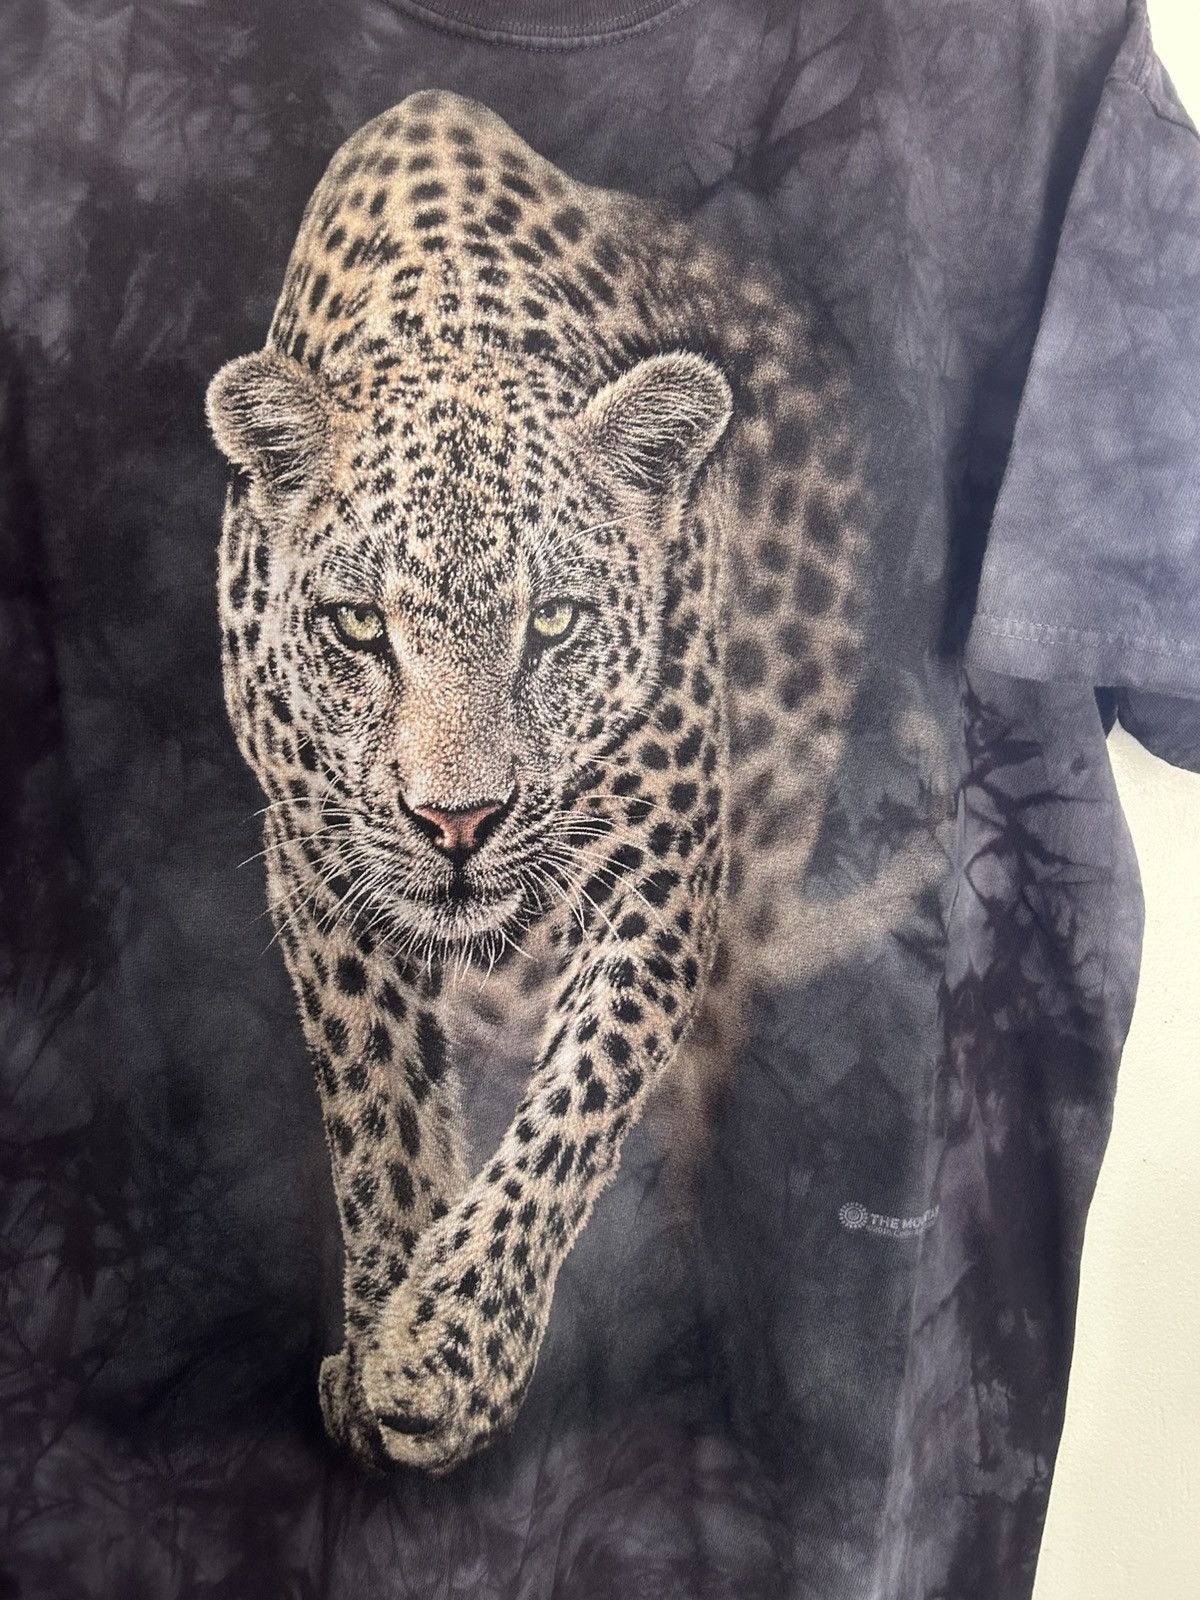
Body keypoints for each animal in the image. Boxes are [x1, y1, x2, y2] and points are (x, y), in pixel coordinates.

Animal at [206, 88, 917, 1477]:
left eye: (556, 623)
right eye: (361, 628)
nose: (457, 821)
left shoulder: (665, 866)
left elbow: (578, 1106)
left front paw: (443, 1356)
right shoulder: (317, 871)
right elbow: (375, 1112)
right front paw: (384, 1339)